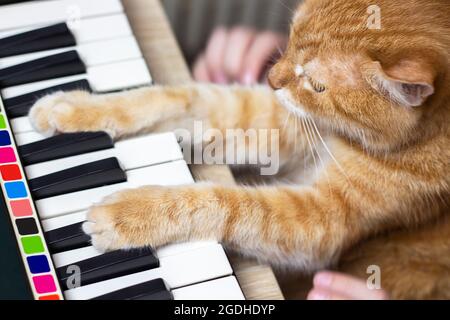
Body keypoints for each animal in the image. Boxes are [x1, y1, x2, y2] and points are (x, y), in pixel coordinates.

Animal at [29, 0, 448, 300]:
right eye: (290, 37)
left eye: (316, 85)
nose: (270, 79)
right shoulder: (271, 116)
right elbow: (177, 97)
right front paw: (72, 108)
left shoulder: (320, 221)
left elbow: (221, 202)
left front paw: (128, 214)